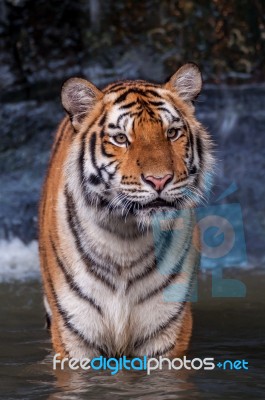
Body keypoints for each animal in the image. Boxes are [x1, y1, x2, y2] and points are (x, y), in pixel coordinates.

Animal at [38, 62, 212, 360]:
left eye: (172, 133)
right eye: (121, 138)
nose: (159, 180)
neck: (126, 237)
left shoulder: (167, 332)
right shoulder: (74, 337)